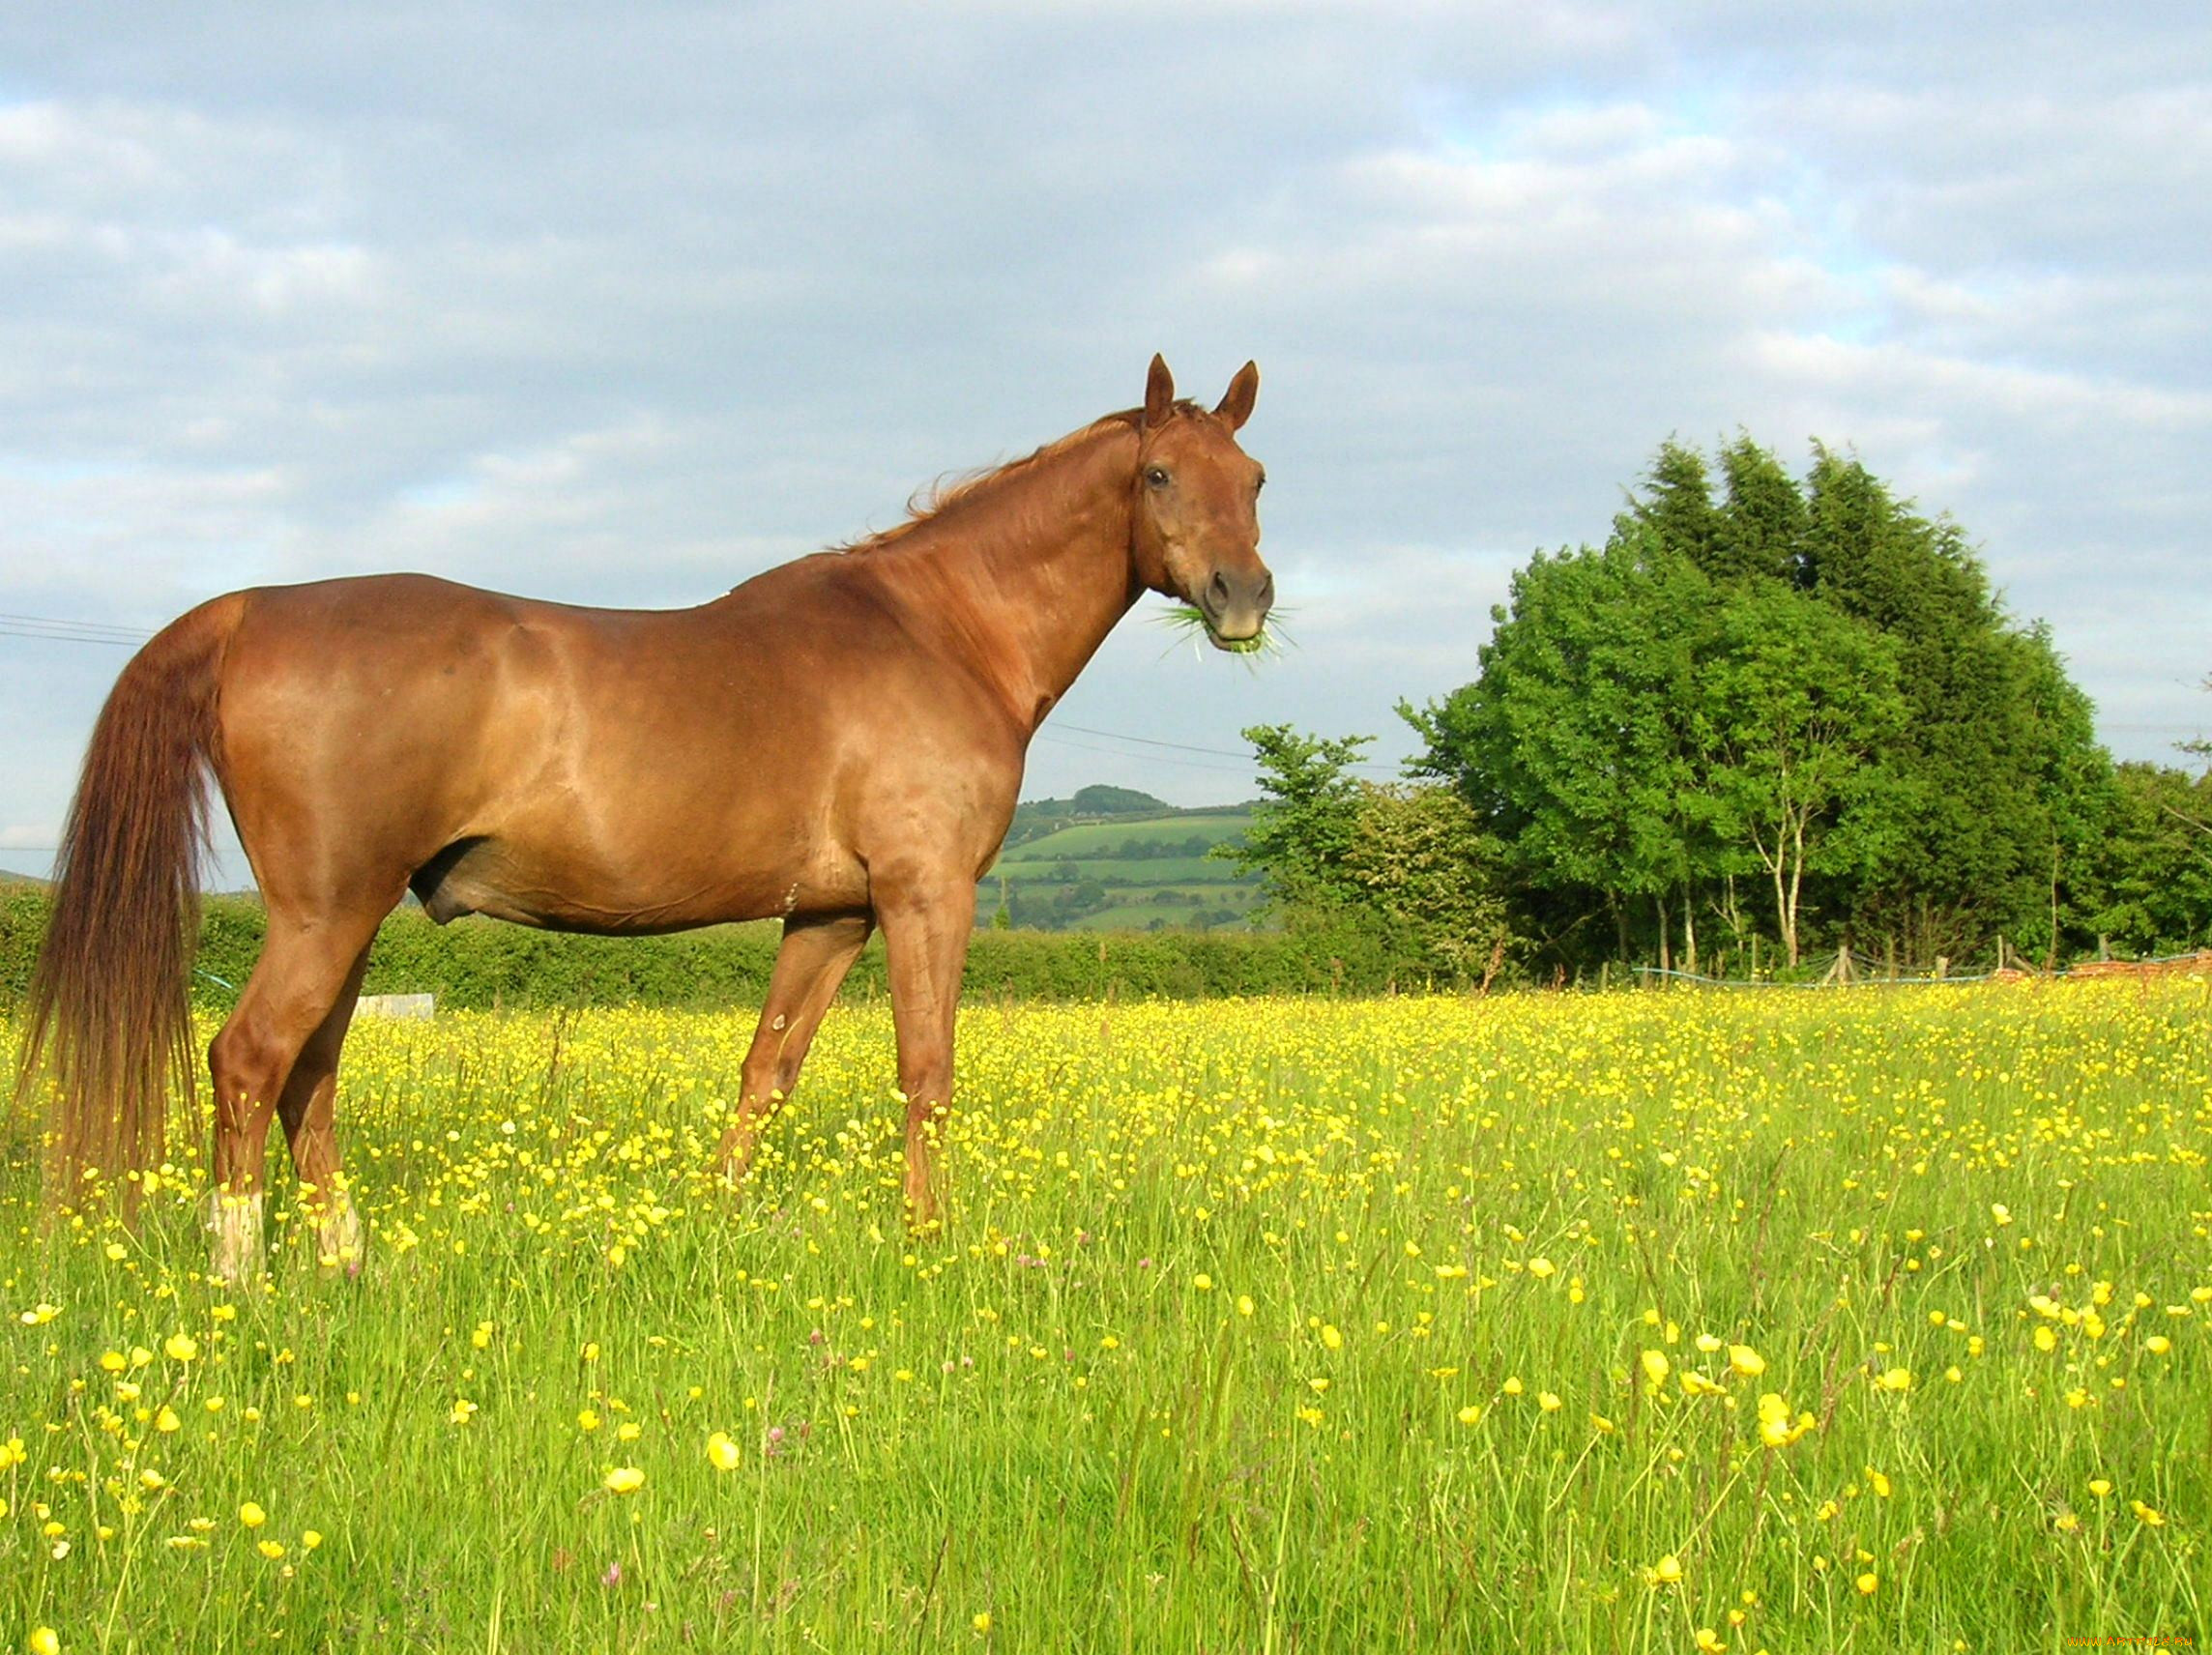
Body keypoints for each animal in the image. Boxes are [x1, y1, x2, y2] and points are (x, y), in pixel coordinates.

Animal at [16, 351, 1273, 1283]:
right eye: (1158, 475)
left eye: (1254, 475)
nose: (1243, 598)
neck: (937, 628)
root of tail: (245, 609)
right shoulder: (926, 893)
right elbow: (925, 1069)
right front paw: (932, 1242)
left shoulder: (831, 915)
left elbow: (766, 1071)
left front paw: (718, 1225)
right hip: (326, 912)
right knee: (249, 1059)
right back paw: (240, 1279)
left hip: (346, 919)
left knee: (307, 1074)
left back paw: (346, 1262)